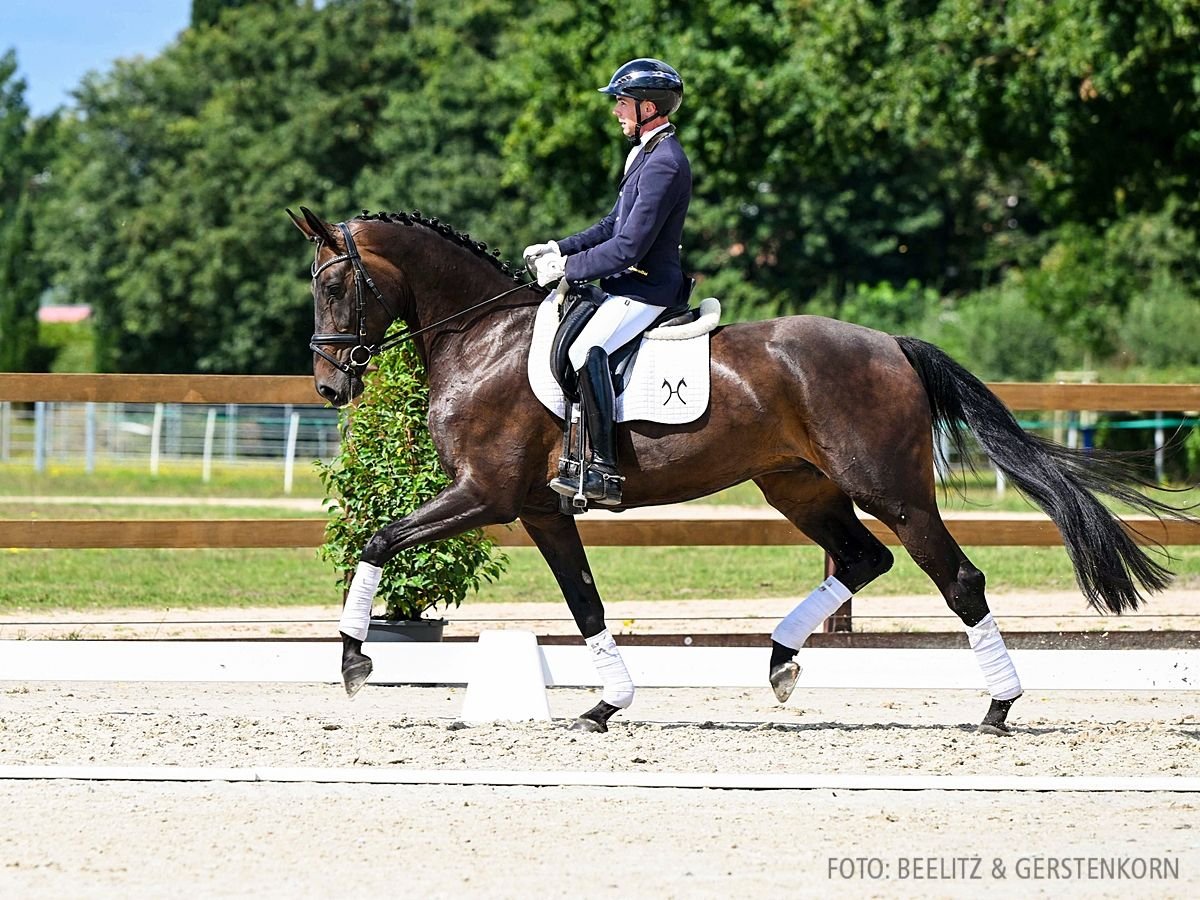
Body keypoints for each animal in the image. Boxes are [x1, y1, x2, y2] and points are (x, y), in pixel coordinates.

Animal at [288, 207, 1180, 734]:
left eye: (335, 284)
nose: (330, 386)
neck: (483, 340)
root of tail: (892, 345)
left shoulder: (485, 495)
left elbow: (378, 539)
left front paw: (354, 660)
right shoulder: (541, 510)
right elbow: (585, 603)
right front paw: (606, 705)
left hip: (889, 490)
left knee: (956, 578)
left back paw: (997, 706)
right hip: (797, 485)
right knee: (862, 558)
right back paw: (782, 661)